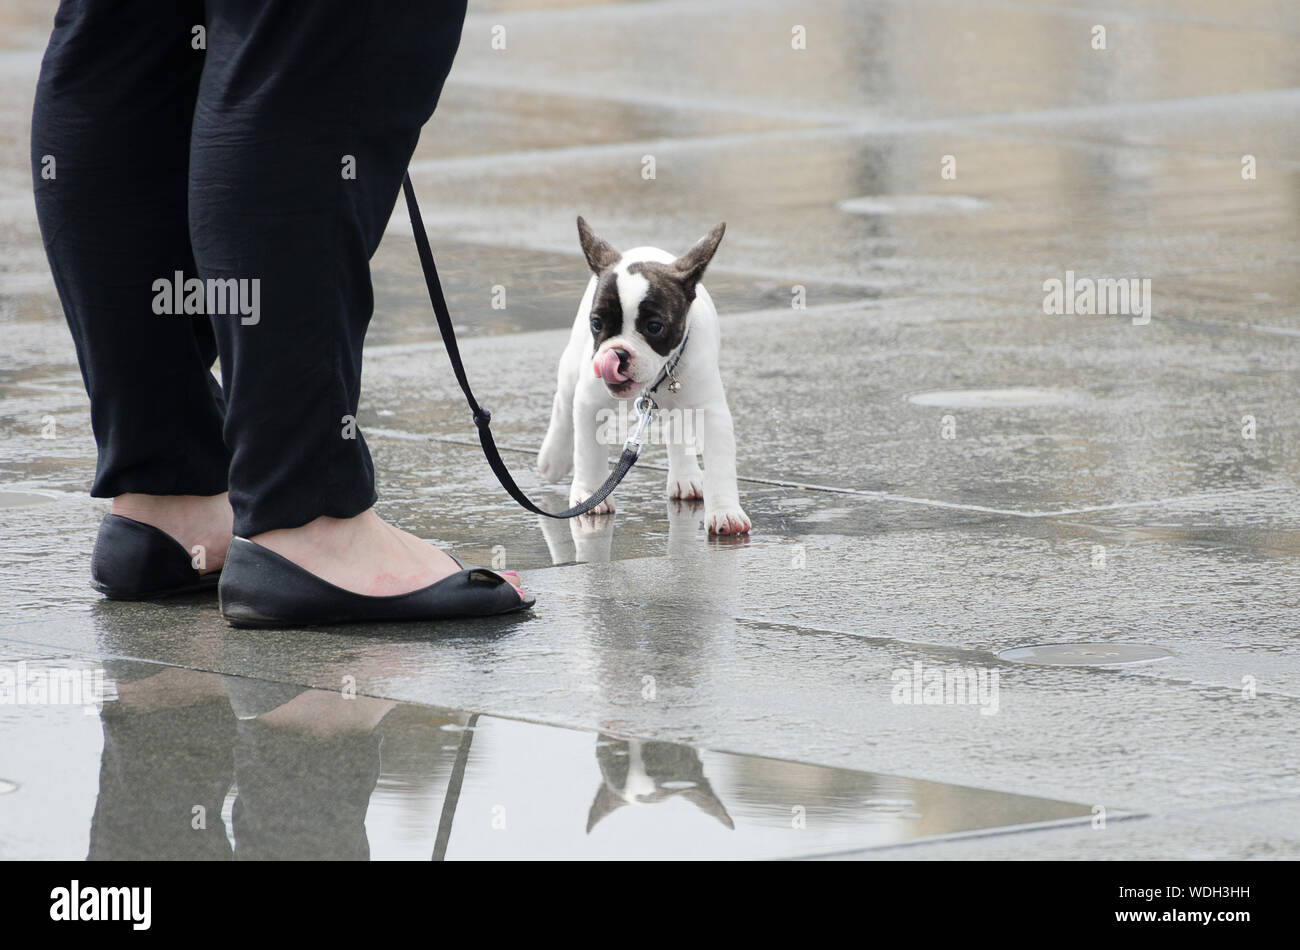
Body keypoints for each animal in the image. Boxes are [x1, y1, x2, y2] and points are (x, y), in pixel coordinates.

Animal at [535, 219, 754, 538]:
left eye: (654, 327)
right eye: (597, 323)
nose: (616, 353)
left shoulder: (711, 412)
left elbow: (719, 463)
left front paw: (726, 512)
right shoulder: (589, 402)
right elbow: (588, 451)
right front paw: (589, 493)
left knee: (677, 427)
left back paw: (685, 476)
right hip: (573, 364)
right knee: (563, 403)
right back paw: (554, 456)